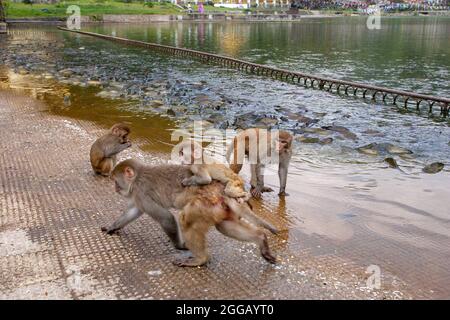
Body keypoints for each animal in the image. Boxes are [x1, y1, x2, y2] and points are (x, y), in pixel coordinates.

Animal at [103, 159, 276, 266]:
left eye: (116, 181)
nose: (115, 188)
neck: (136, 178)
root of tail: (221, 189)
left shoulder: (141, 192)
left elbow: (166, 218)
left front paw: (180, 245)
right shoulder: (137, 196)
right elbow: (134, 211)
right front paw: (113, 227)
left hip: (204, 205)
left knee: (185, 219)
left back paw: (200, 259)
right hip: (219, 208)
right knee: (224, 226)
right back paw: (261, 239)